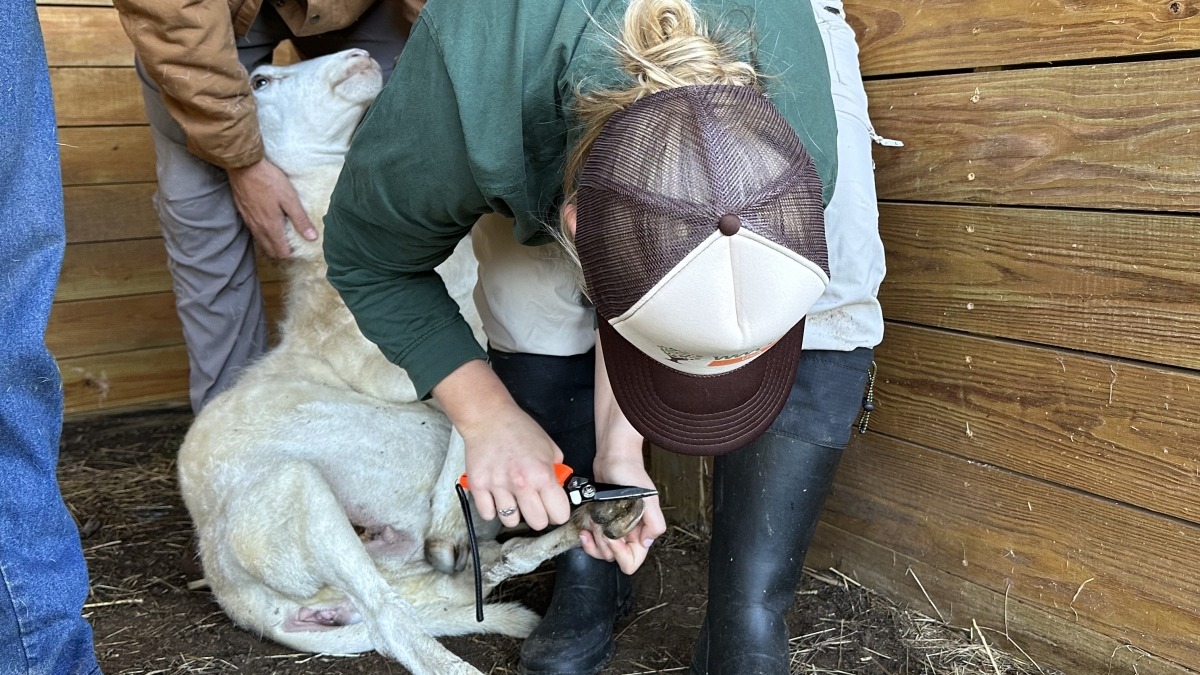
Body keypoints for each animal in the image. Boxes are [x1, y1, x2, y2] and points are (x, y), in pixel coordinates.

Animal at [176, 49, 644, 675]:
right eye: (259, 80)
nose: (359, 57)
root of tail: (238, 598)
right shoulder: (408, 354)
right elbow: (471, 390)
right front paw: (454, 506)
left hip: (394, 568)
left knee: (469, 577)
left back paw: (582, 527)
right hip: (296, 499)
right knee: (392, 622)